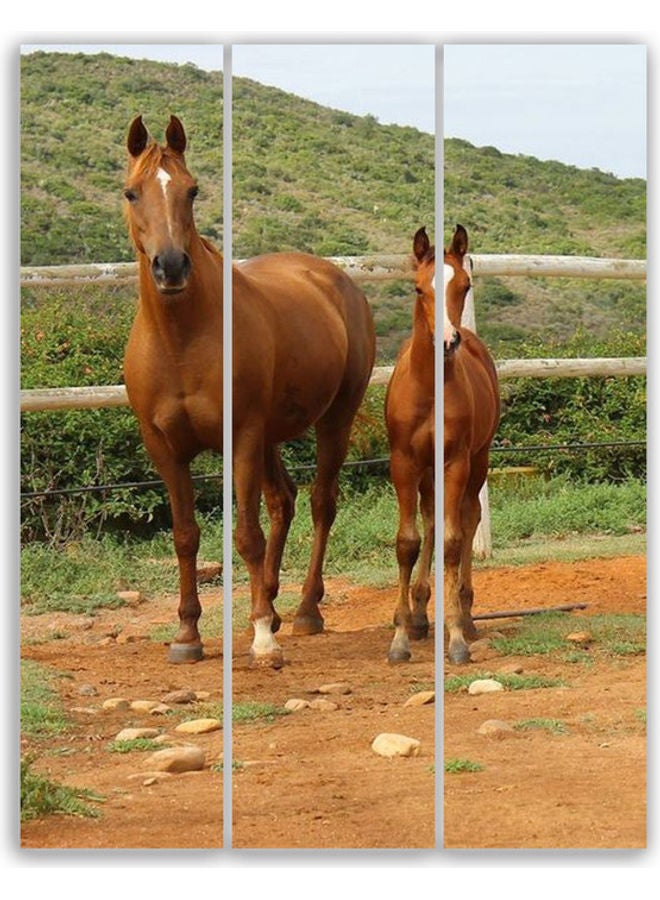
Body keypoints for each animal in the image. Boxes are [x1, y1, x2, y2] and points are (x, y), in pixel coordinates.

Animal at [232, 246, 375, 667]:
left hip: (337, 416)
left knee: (321, 501)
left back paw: (307, 609)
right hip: (269, 435)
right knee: (283, 498)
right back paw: (271, 603)